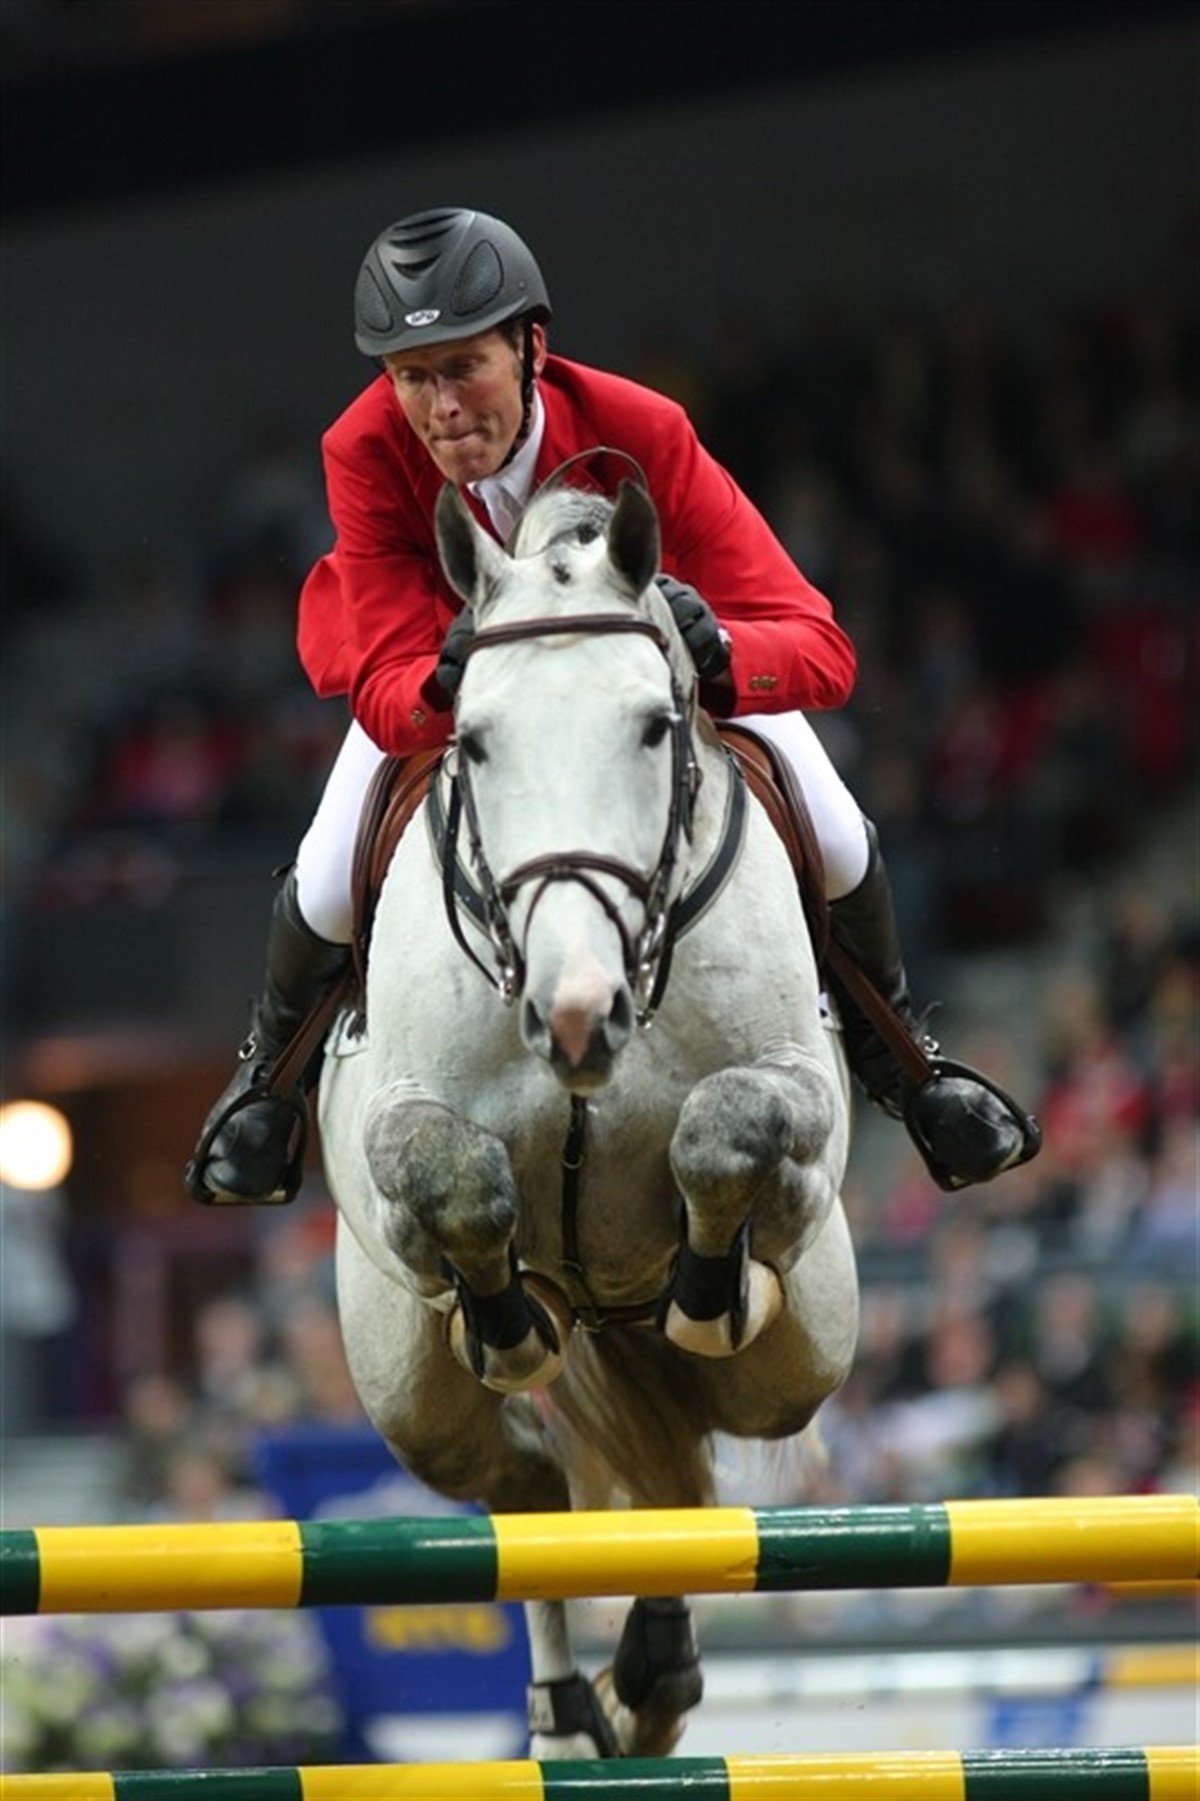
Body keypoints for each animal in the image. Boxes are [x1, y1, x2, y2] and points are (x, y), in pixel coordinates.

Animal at [317, 470, 858, 1757]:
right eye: (471, 738)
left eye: (656, 724)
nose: (573, 1017)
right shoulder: (398, 1132)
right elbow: (456, 1179)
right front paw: (506, 1315)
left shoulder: (799, 1107)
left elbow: (729, 1128)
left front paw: (711, 1286)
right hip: (410, 1392)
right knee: (528, 1489)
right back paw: (570, 1713)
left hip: (803, 1352)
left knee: (677, 1466)